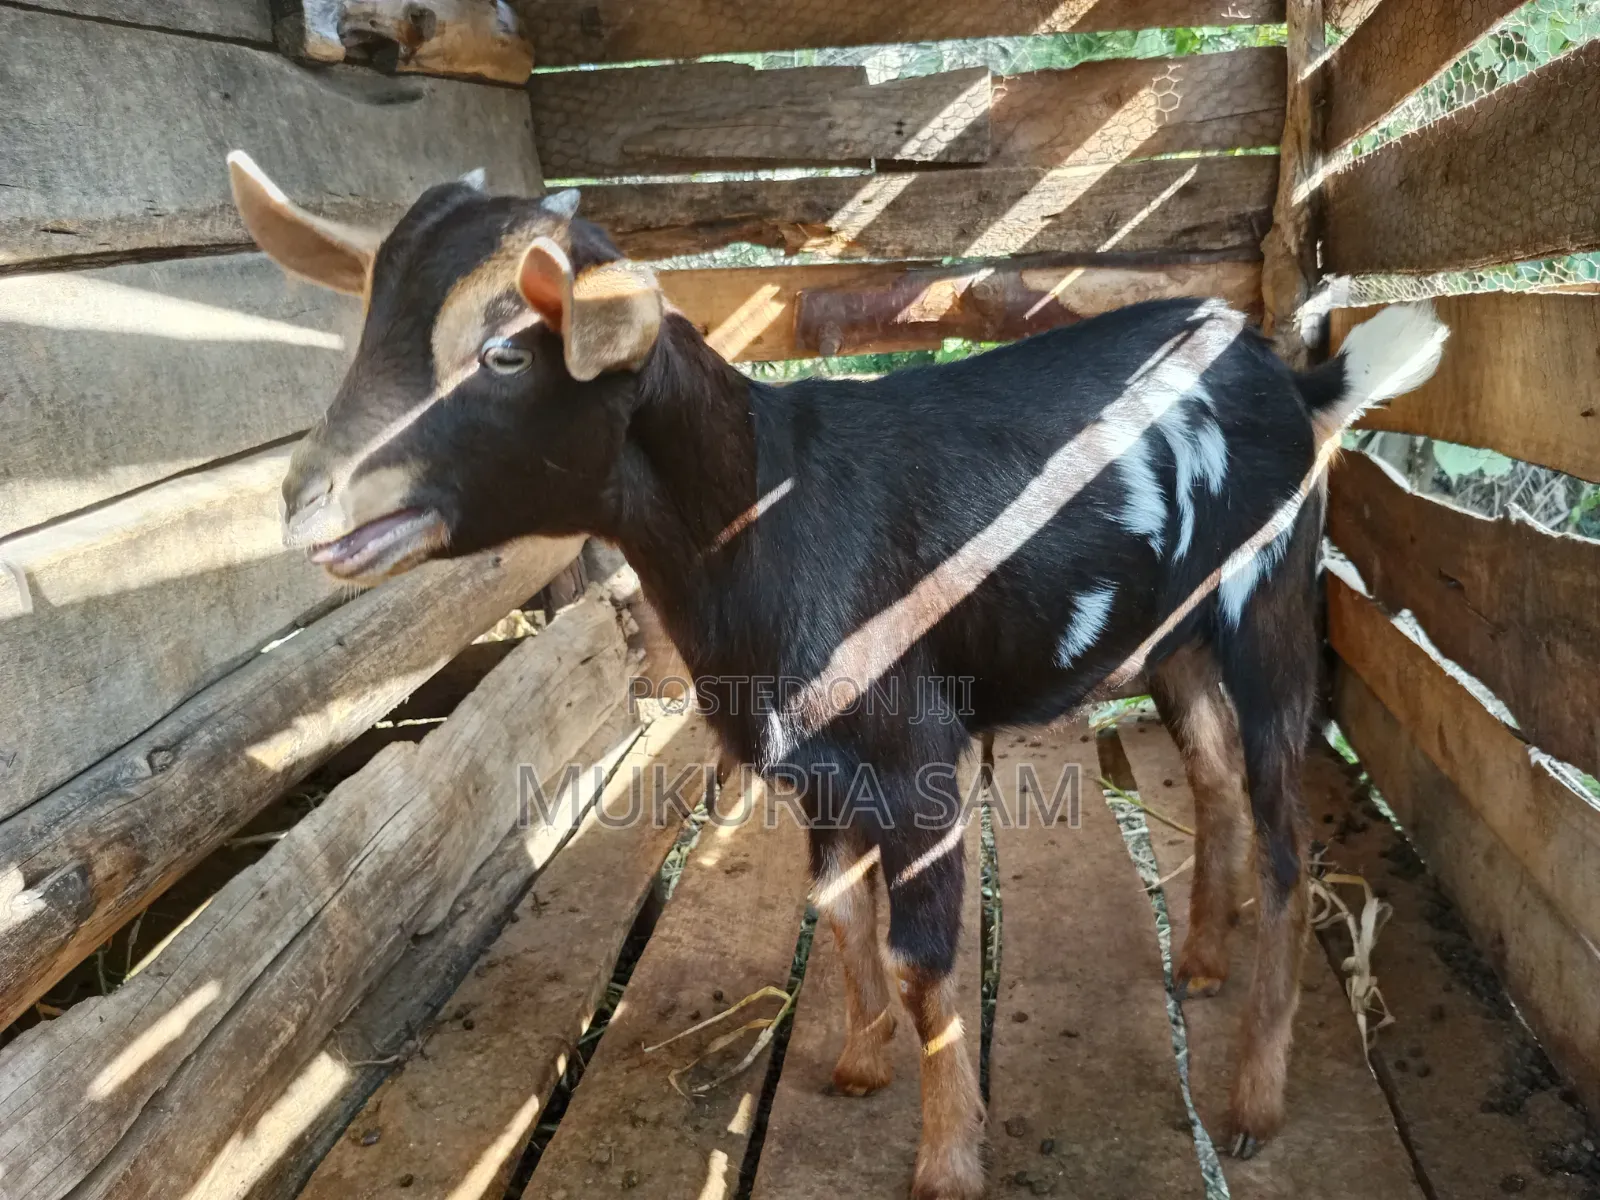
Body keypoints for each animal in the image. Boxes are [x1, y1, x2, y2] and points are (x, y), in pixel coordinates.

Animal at [226, 152, 1447, 1200]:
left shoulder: (918, 760)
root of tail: (1296, 381)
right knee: (1213, 780)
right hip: (1175, 638)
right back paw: (1198, 962)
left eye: (504, 353)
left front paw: (946, 1164)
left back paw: (1252, 1104)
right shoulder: (810, 769)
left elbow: (922, 959)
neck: (767, 516)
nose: (303, 501)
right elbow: (842, 916)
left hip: (1272, 611)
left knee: (1290, 842)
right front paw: (859, 1068)